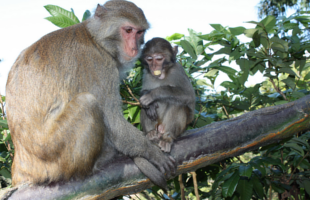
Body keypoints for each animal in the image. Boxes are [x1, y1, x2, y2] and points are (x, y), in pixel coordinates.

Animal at [5, 0, 174, 191]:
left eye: (140, 32)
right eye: (128, 30)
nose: (135, 47)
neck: (96, 40)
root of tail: (22, 168)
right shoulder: (99, 64)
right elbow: (113, 122)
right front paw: (153, 153)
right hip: (53, 156)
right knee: (87, 102)